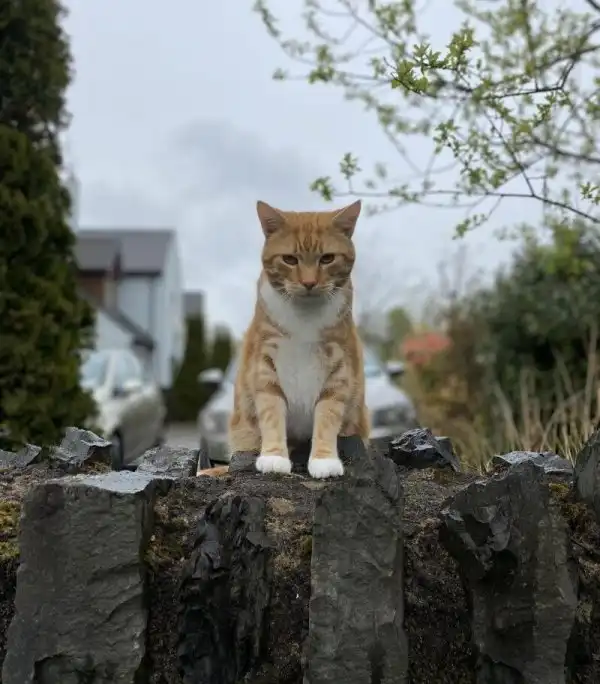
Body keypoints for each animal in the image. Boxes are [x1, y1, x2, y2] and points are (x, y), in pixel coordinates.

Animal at [227, 199, 369, 479]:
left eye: (327, 258)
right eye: (289, 259)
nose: (309, 282)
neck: (305, 314)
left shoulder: (338, 368)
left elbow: (327, 415)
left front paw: (324, 460)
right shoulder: (266, 364)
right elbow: (271, 412)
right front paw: (274, 457)